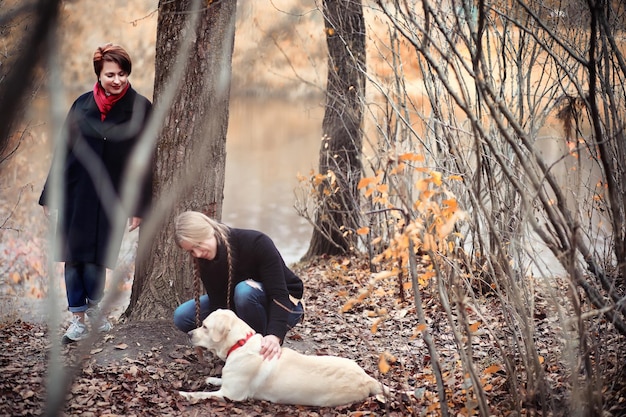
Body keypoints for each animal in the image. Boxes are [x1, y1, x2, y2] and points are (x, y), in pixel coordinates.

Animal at [178, 308, 388, 404]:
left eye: (205, 326)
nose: (189, 333)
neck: (240, 343)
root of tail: (368, 379)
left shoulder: (231, 394)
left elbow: (202, 394)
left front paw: (184, 394)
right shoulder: (229, 384)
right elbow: (220, 379)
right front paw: (212, 378)